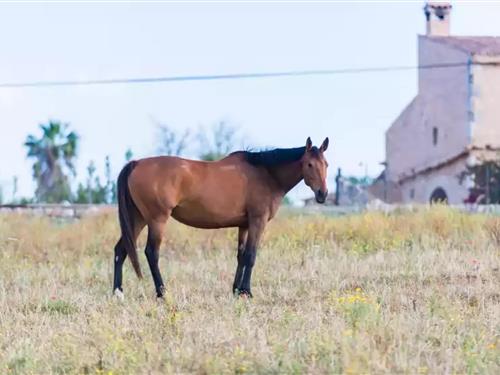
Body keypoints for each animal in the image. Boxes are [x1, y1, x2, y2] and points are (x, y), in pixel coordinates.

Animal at [114, 137, 332, 298]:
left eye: (326, 164)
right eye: (309, 164)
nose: (322, 194)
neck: (265, 174)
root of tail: (136, 164)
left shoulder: (244, 224)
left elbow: (241, 256)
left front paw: (236, 291)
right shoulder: (258, 221)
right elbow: (251, 255)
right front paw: (247, 292)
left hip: (138, 218)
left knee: (121, 250)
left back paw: (118, 293)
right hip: (156, 219)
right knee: (151, 253)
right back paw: (162, 293)